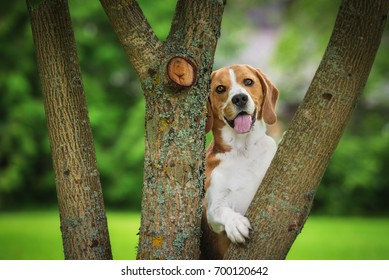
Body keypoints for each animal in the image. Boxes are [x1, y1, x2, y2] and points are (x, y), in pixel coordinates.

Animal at [200, 64, 278, 260]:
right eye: (220, 88)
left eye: (248, 81)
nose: (240, 98)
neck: (243, 150)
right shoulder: (211, 206)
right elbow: (220, 210)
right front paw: (235, 223)